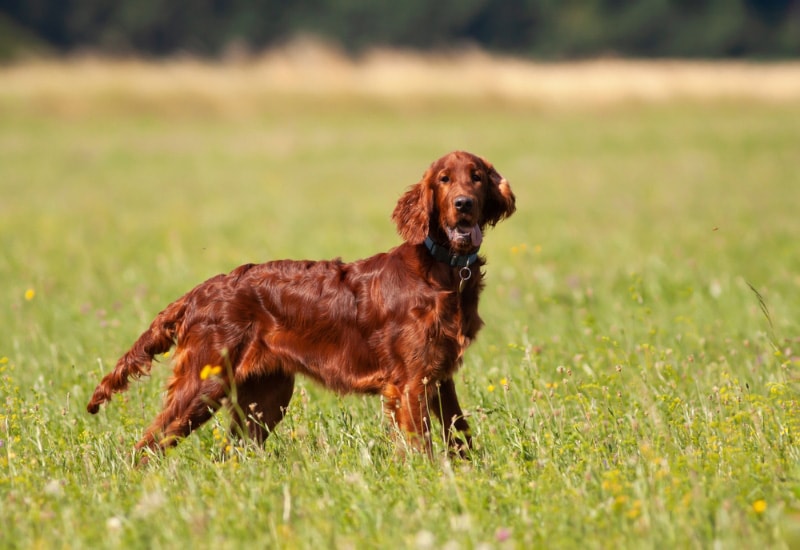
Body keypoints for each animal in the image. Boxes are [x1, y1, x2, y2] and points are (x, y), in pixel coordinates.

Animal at [86, 151, 512, 458]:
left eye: (476, 176)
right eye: (443, 179)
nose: (463, 204)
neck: (443, 269)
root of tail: (198, 292)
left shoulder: (439, 376)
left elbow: (460, 435)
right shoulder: (410, 383)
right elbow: (421, 445)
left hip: (265, 396)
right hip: (203, 385)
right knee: (146, 447)